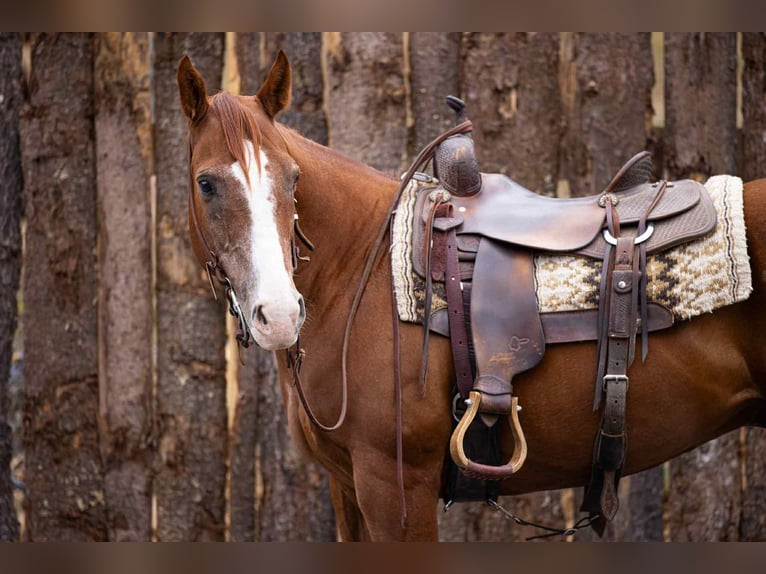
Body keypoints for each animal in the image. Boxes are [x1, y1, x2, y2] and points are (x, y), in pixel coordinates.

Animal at [177, 50, 766, 541]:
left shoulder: (395, 487)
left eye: (293, 178)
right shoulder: (347, 489)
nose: (279, 315)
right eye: (207, 184)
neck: (358, 264)